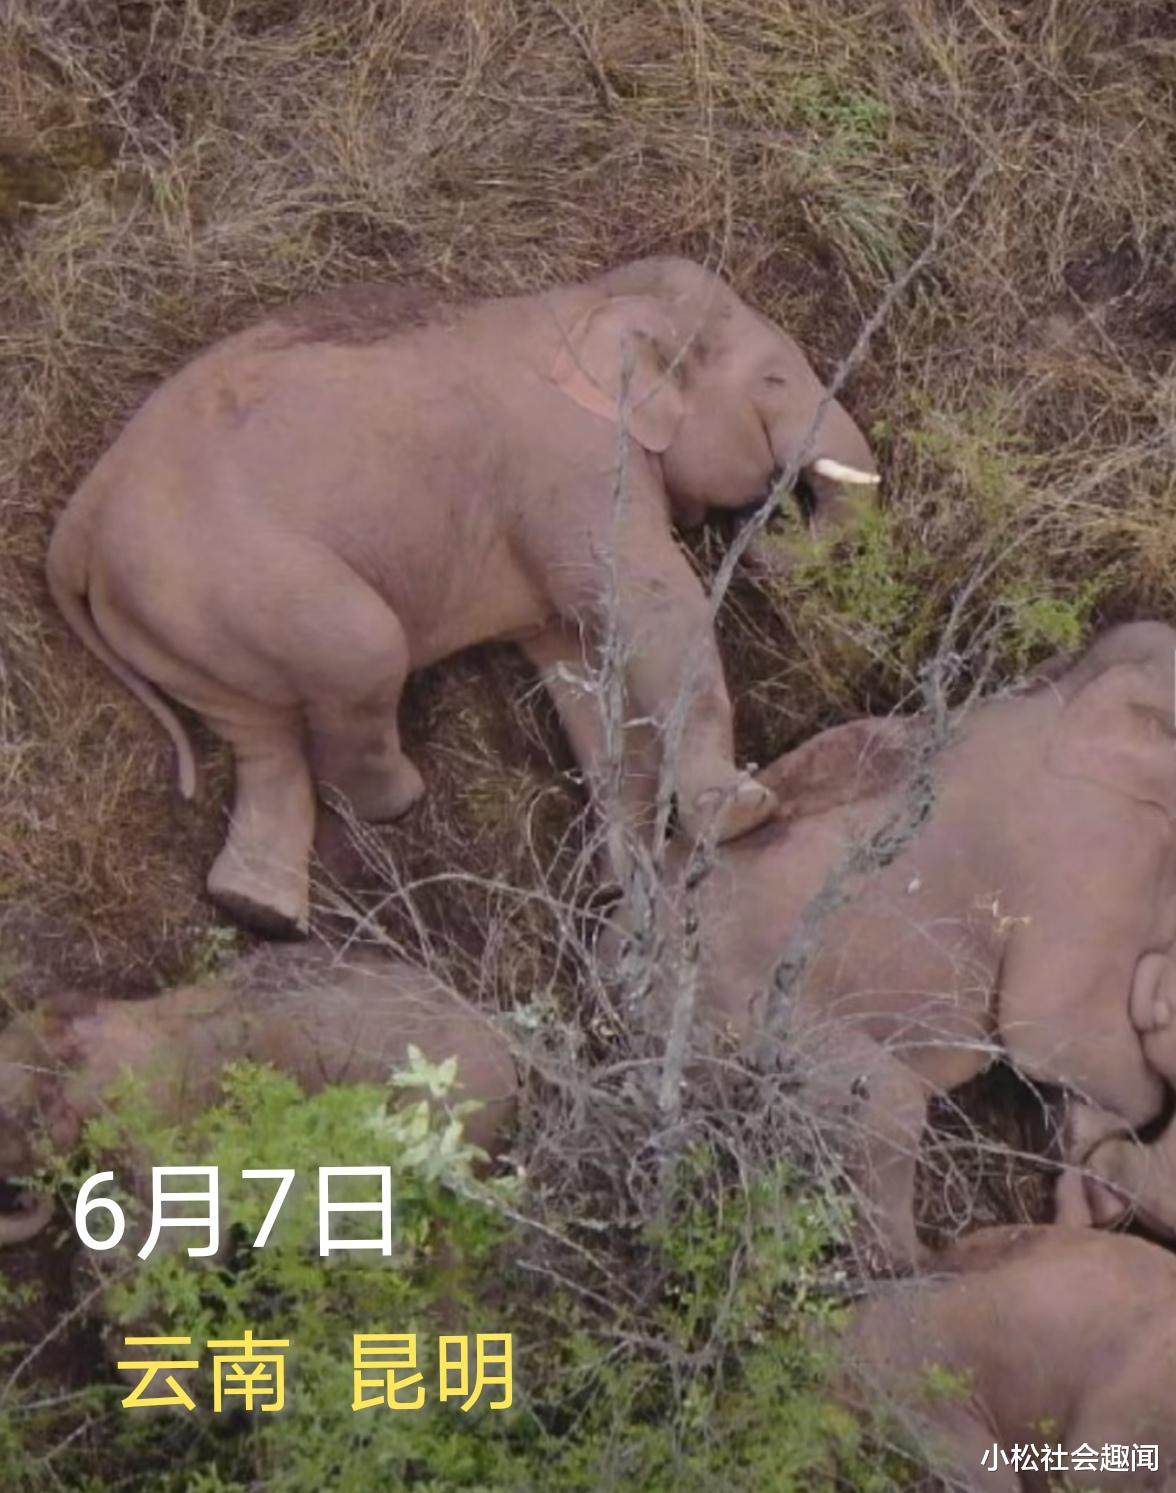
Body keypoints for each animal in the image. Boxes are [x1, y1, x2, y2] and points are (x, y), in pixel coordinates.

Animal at [43, 256, 883, 931]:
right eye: (773, 381)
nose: (768, 529)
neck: (589, 299)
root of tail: (78, 522)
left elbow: (583, 666)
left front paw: (627, 884)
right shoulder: (571, 465)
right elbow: (654, 609)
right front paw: (743, 811)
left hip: (181, 620)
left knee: (261, 737)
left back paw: (260, 912)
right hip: (228, 577)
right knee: (362, 650)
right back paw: (395, 801)